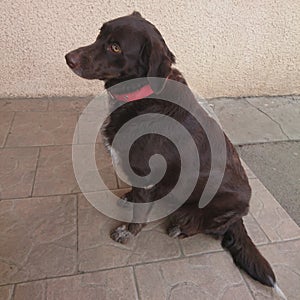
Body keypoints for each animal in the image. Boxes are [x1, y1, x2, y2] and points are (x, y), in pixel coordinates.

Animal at [65, 11, 286, 296]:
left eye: (115, 47)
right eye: (99, 34)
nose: (68, 58)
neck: (141, 96)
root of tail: (240, 216)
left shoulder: (146, 176)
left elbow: (139, 215)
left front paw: (128, 233)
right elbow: (136, 196)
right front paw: (129, 198)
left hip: (202, 209)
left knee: (209, 230)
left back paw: (180, 229)